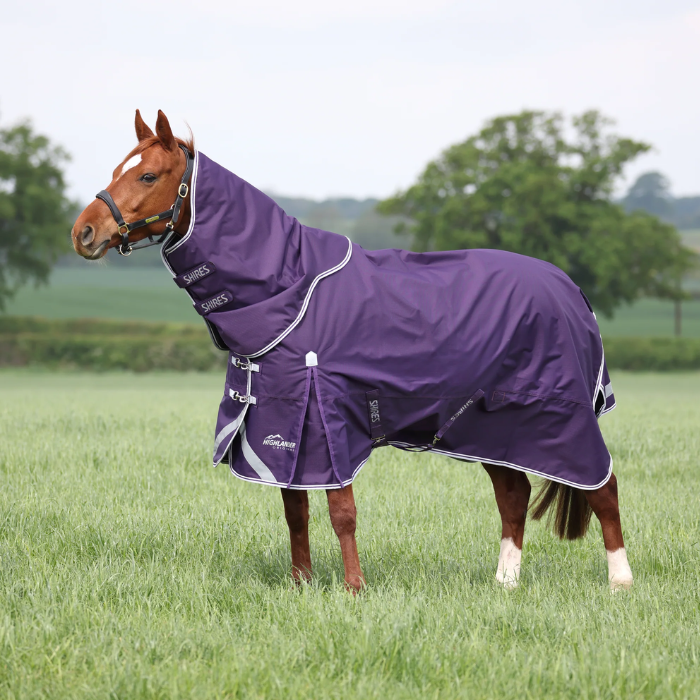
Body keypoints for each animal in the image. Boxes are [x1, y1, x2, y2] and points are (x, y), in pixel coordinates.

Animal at [71, 109, 633, 593]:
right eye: (118, 169)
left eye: (148, 176)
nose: (84, 232)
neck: (289, 286)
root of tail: (572, 290)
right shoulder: (282, 421)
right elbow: (295, 512)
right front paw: (301, 583)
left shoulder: (326, 418)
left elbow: (342, 512)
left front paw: (354, 589)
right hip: (491, 426)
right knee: (514, 496)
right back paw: (505, 583)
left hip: (558, 416)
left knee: (603, 487)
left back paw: (620, 582)